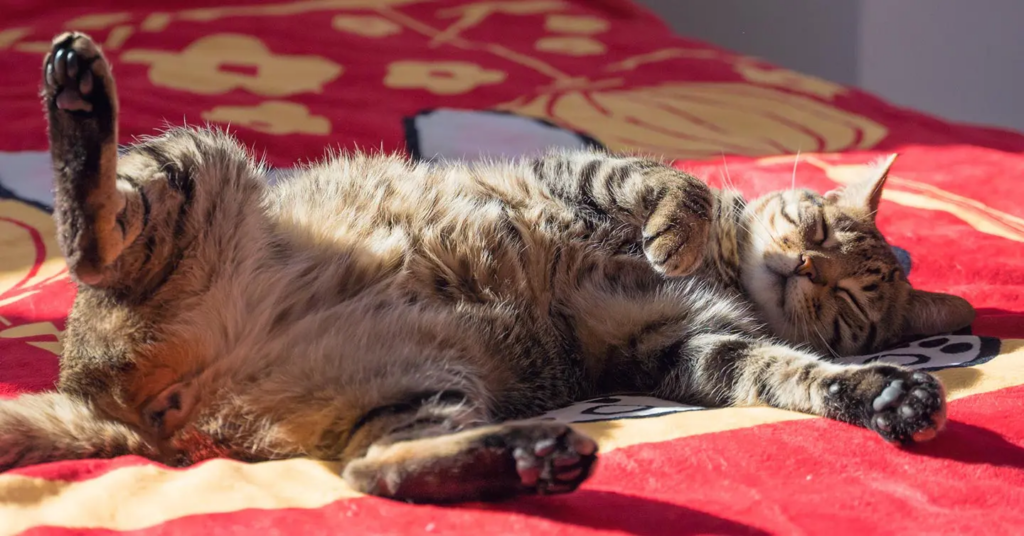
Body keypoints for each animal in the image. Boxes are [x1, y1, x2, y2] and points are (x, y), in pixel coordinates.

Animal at [0, 32, 974, 504]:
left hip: (420, 385)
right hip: (200, 162)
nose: (805, 265)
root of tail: (117, 411)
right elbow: (668, 183)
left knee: (375, 472)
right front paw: (676, 232)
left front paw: (885, 395)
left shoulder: (684, 344)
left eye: (851, 300)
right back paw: (77, 101)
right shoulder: (575, 178)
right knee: (93, 230)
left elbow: (792, 373)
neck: (737, 277)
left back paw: (529, 457)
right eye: (815, 224)